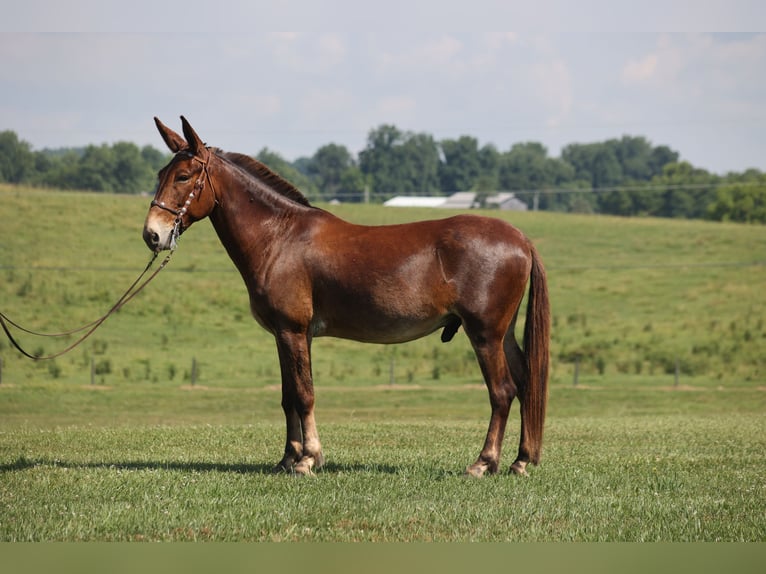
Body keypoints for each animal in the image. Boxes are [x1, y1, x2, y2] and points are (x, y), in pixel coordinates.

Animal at [146, 116, 552, 476]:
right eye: (160, 174)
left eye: (183, 176)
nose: (152, 234)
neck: (280, 237)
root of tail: (521, 239)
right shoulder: (287, 334)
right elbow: (288, 396)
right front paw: (288, 458)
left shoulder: (293, 330)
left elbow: (304, 394)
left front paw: (308, 460)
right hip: (504, 334)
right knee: (525, 384)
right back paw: (520, 461)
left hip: (485, 335)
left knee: (502, 392)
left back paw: (484, 463)